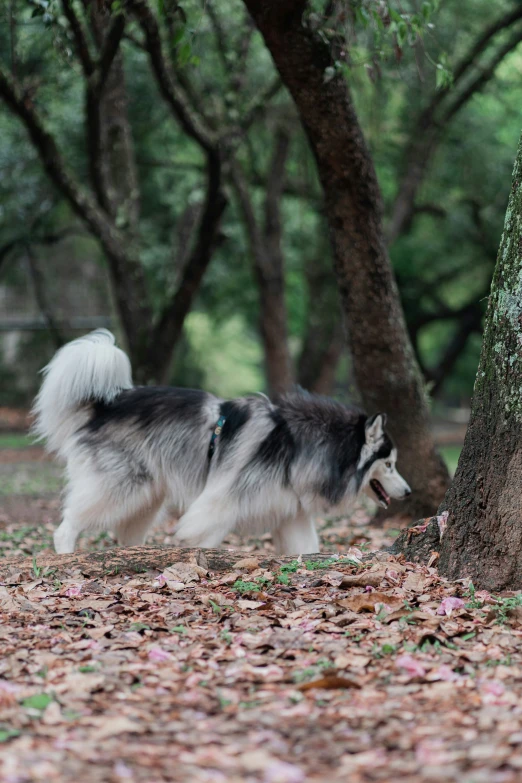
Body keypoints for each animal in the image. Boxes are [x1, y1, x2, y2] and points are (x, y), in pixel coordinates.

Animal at [32, 330, 410, 556]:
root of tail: (105, 406)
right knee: (68, 523)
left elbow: (307, 547)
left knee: (127, 536)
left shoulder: (291, 512)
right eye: (389, 464)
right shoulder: (221, 502)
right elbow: (205, 536)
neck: (300, 444)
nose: (408, 492)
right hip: (120, 487)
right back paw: (65, 553)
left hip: (145, 498)